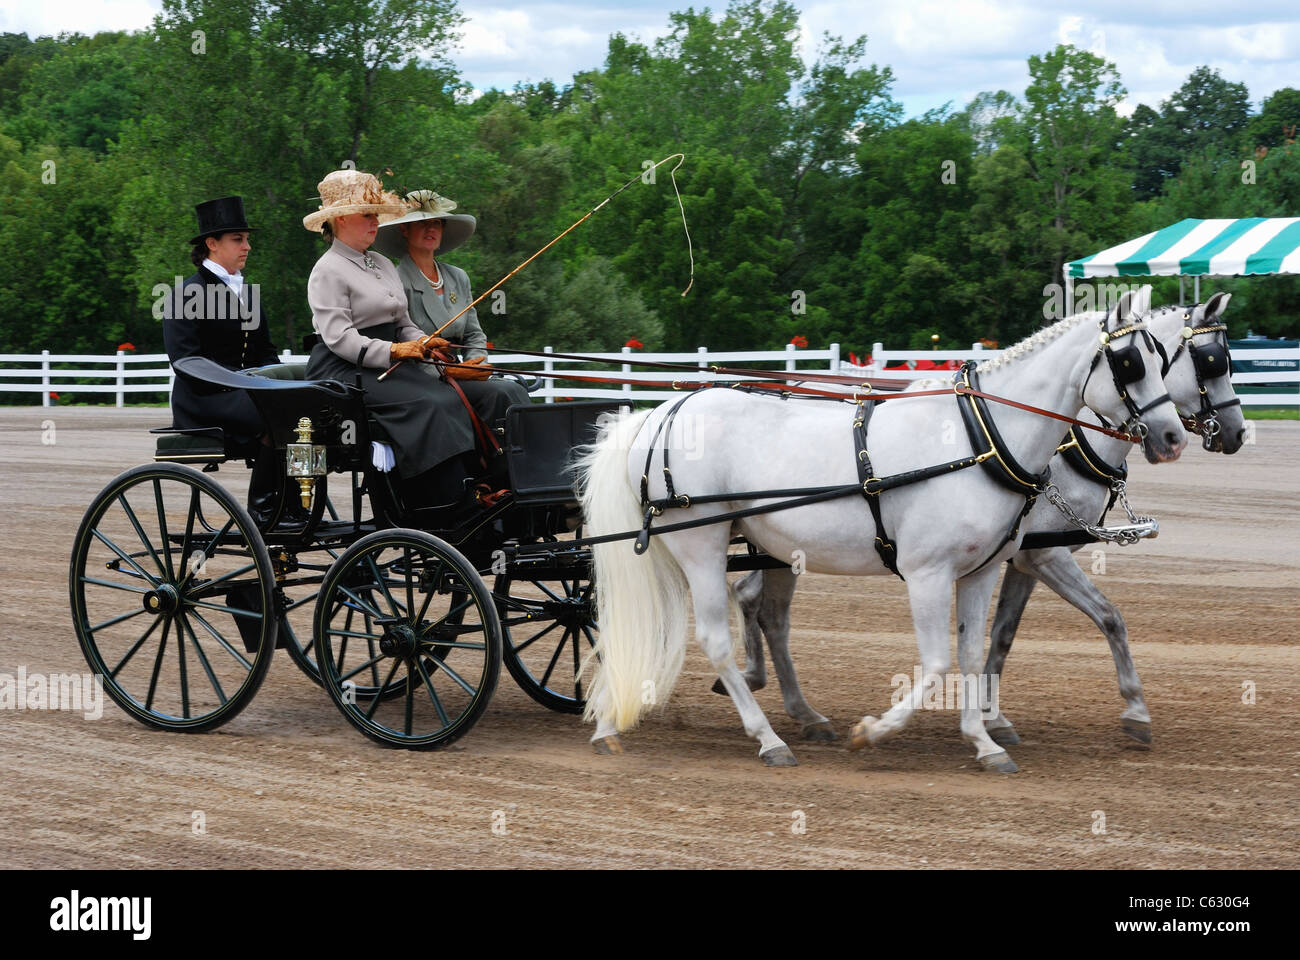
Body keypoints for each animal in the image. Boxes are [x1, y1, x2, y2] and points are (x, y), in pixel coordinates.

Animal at [574, 286, 1185, 770]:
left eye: (1164, 359)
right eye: (1130, 362)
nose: (1174, 437)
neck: (980, 440)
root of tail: (660, 413)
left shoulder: (982, 571)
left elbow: (972, 654)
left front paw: (984, 742)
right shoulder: (927, 573)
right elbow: (937, 663)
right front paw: (873, 732)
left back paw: (616, 723)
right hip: (700, 544)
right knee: (715, 639)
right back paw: (768, 739)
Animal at [728, 291, 1242, 749]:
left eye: (1162, 360)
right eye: (1210, 361)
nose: (1234, 433)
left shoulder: (1017, 557)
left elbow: (1001, 634)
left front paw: (990, 718)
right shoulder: (1045, 555)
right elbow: (1108, 617)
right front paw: (1133, 710)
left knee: (760, 604)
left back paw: (788, 702)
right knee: (758, 604)